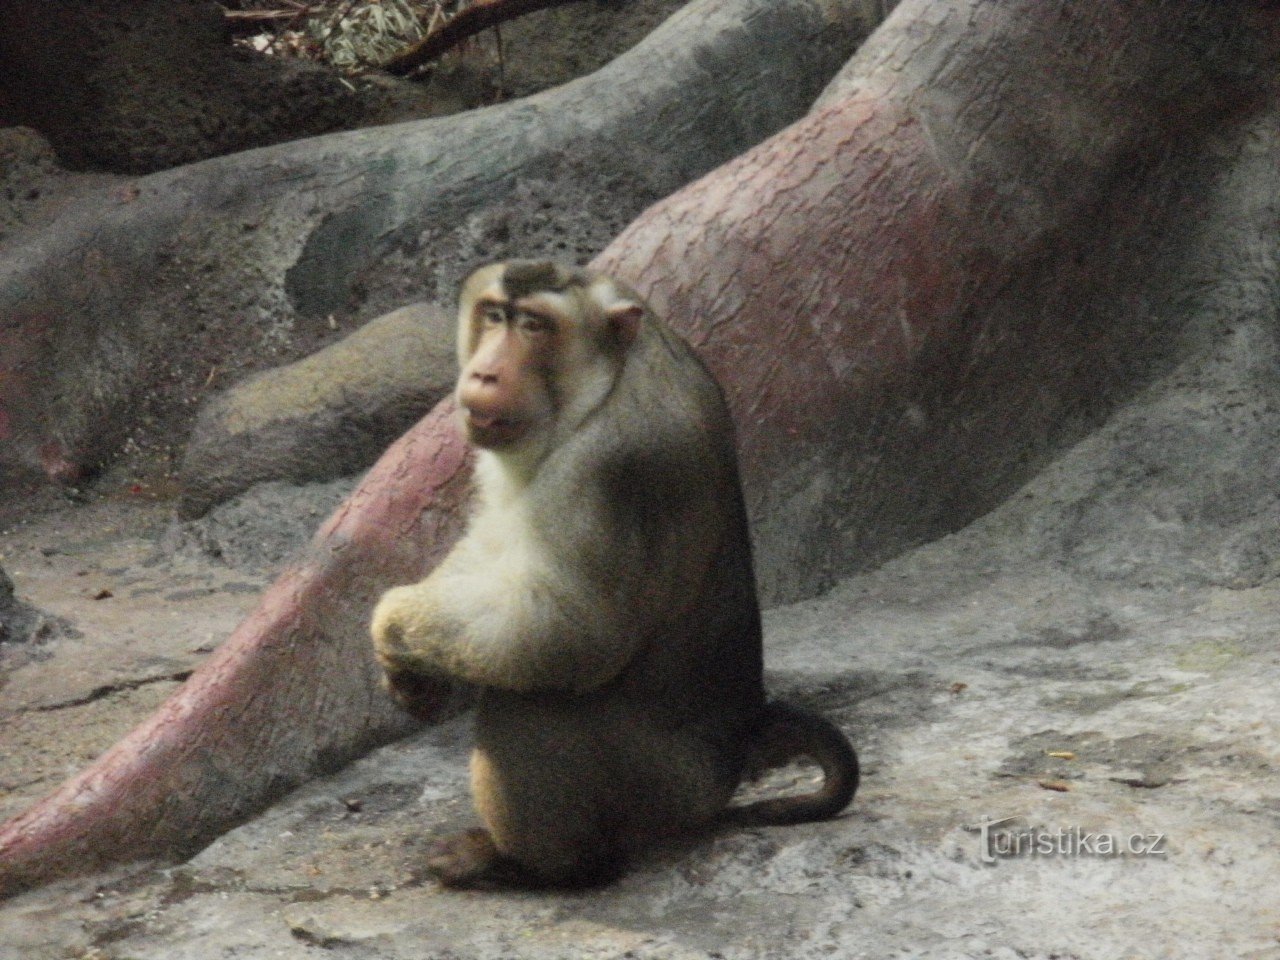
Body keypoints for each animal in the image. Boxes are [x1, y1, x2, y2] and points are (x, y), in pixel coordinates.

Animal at [366, 259, 855, 890]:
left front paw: (390, 624)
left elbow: (568, 630)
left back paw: (547, 868)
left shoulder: (606, 469)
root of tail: (741, 744)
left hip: (662, 788)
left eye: (533, 325)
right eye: (495, 316)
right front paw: (410, 666)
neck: (607, 380)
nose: (486, 372)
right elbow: (498, 545)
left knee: (527, 707)